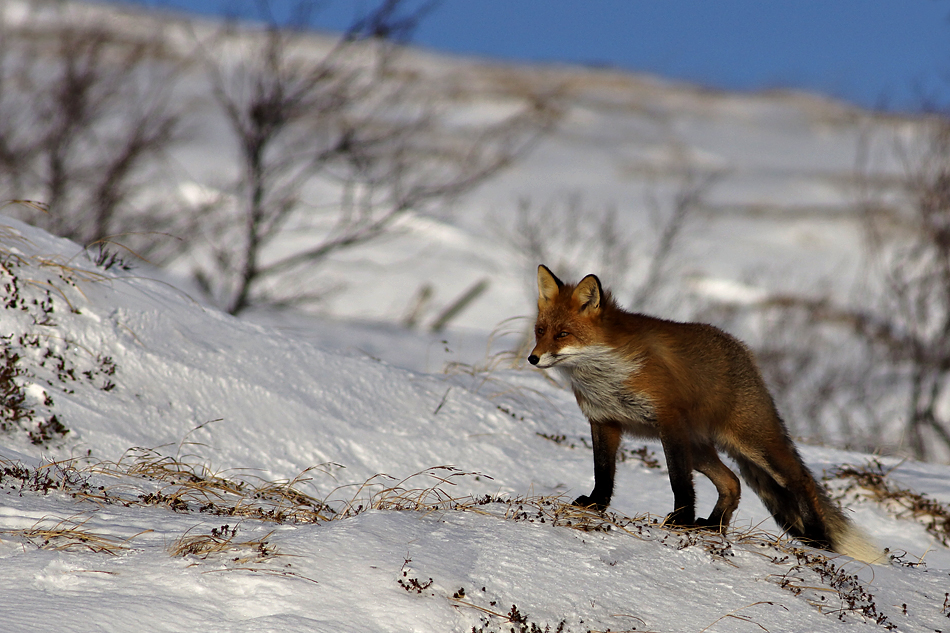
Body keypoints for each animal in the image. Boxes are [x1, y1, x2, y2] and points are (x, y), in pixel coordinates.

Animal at [528, 264, 884, 560]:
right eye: (540, 331)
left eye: (563, 334)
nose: (532, 358)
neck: (605, 373)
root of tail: (744, 353)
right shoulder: (605, 420)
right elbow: (603, 471)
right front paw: (596, 505)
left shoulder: (668, 420)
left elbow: (678, 481)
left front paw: (681, 519)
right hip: (698, 448)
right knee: (732, 483)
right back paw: (714, 527)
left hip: (752, 445)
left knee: (800, 482)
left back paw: (818, 539)